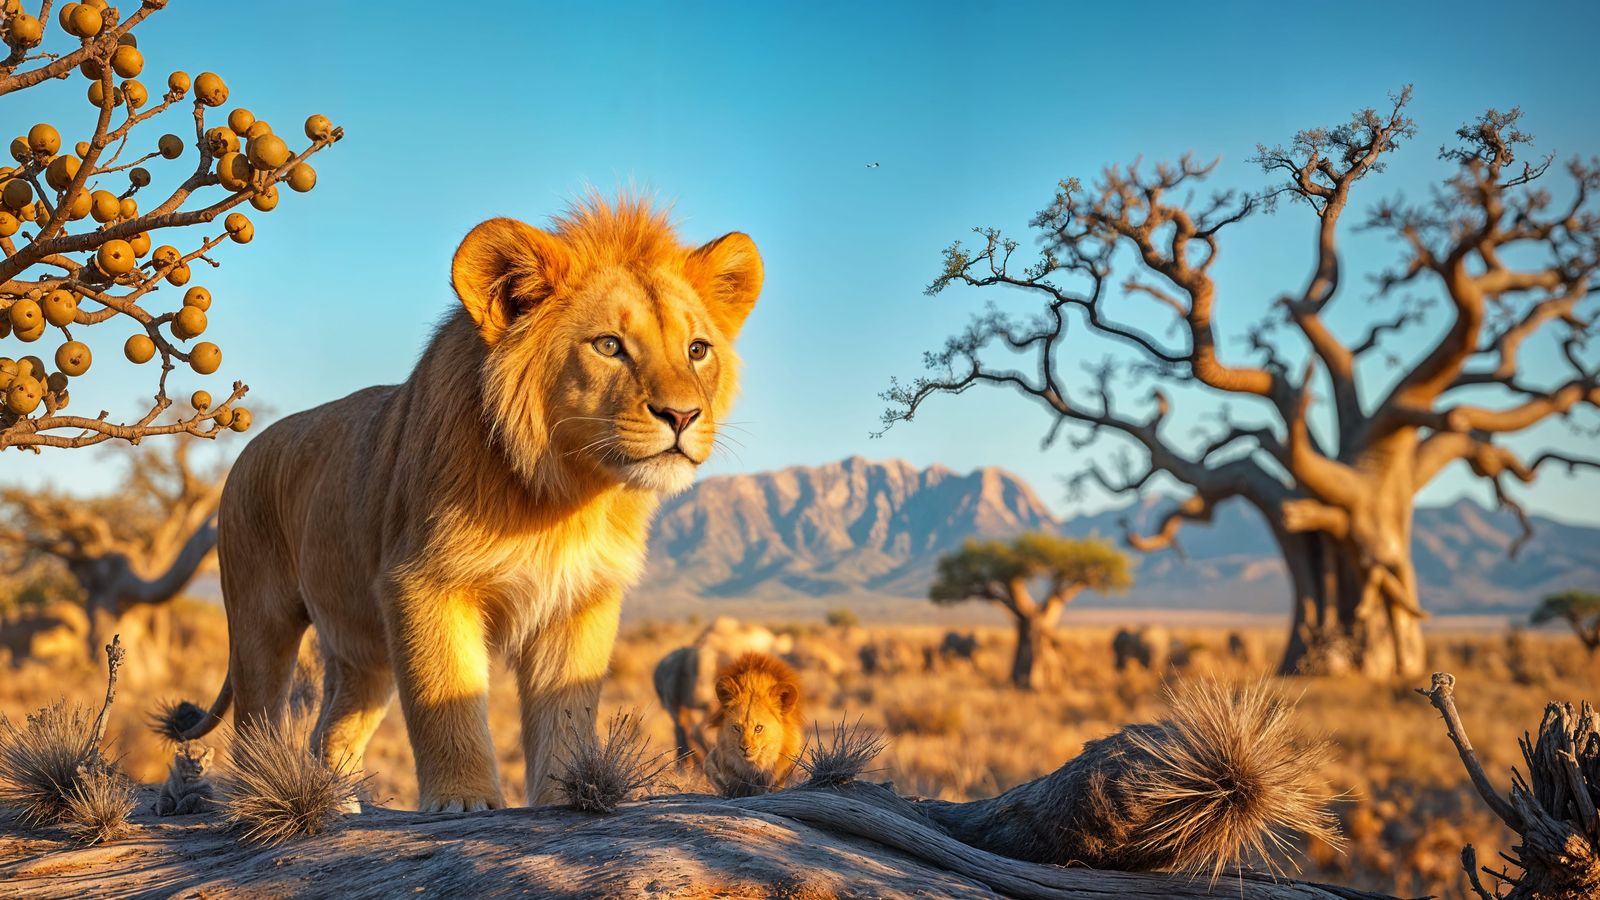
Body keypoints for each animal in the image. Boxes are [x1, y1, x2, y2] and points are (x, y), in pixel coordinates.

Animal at [161, 197, 763, 812]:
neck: (569, 493)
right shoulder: (422, 581)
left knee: (330, 729)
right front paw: (462, 800)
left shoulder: (579, 599)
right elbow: (445, 697)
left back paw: (338, 802)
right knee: (254, 726)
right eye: (609, 345)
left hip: (362, 652)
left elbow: (567, 715)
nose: (683, 415)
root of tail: (249, 448)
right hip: (260, 620)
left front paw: (568, 796)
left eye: (697, 350)